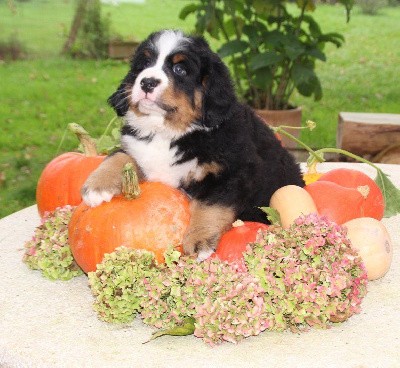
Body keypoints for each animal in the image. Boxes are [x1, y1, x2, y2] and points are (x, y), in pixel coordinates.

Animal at [82, 30, 304, 260]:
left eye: (180, 69)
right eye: (144, 64)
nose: (147, 82)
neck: (169, 132)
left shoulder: (236, 171)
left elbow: (210, 204)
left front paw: (199, 240)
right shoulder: (138, 149)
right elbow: (119, 156)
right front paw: (97, 186)